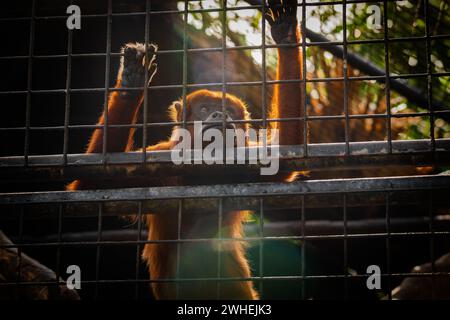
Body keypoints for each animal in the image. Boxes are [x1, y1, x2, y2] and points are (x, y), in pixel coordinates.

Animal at [67, 0, 300, 300]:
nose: (219, 116)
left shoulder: (242, 168)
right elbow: (92, 182)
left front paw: (286, 37)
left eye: (229, 111)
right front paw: (132, 82)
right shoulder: (157, 166)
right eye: (204, 109)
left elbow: (287, 155)